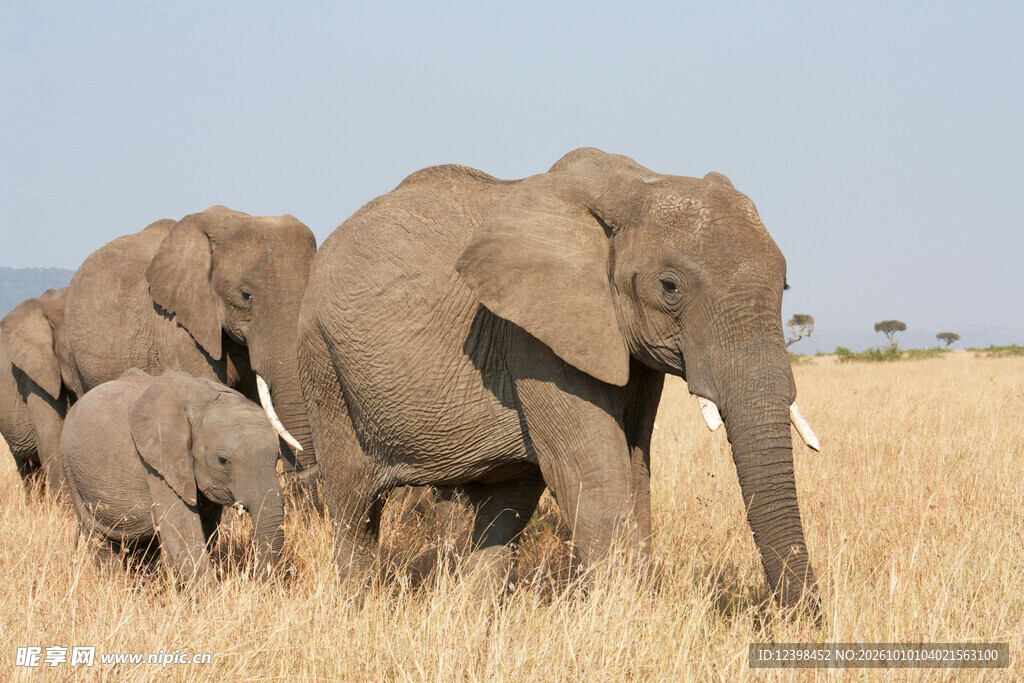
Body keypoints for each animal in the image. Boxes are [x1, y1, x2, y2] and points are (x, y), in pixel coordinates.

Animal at [61, 369, 285, 582]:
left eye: (277, 458)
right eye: (223, 460)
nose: (251, 578)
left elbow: (206, 530)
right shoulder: (159, 465)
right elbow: (183, 537)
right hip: (72, 475)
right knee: (99, 541)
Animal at [297, 148, 822, 611]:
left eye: (784, 285)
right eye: (669, 287)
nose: (802, 618)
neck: (634, 185)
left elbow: (634, 471)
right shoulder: (532, 335)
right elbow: (595, 476)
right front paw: (623, 620)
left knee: (503, 509)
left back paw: (473, 617)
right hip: (324, 365)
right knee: (353, 504)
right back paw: (359, 609)